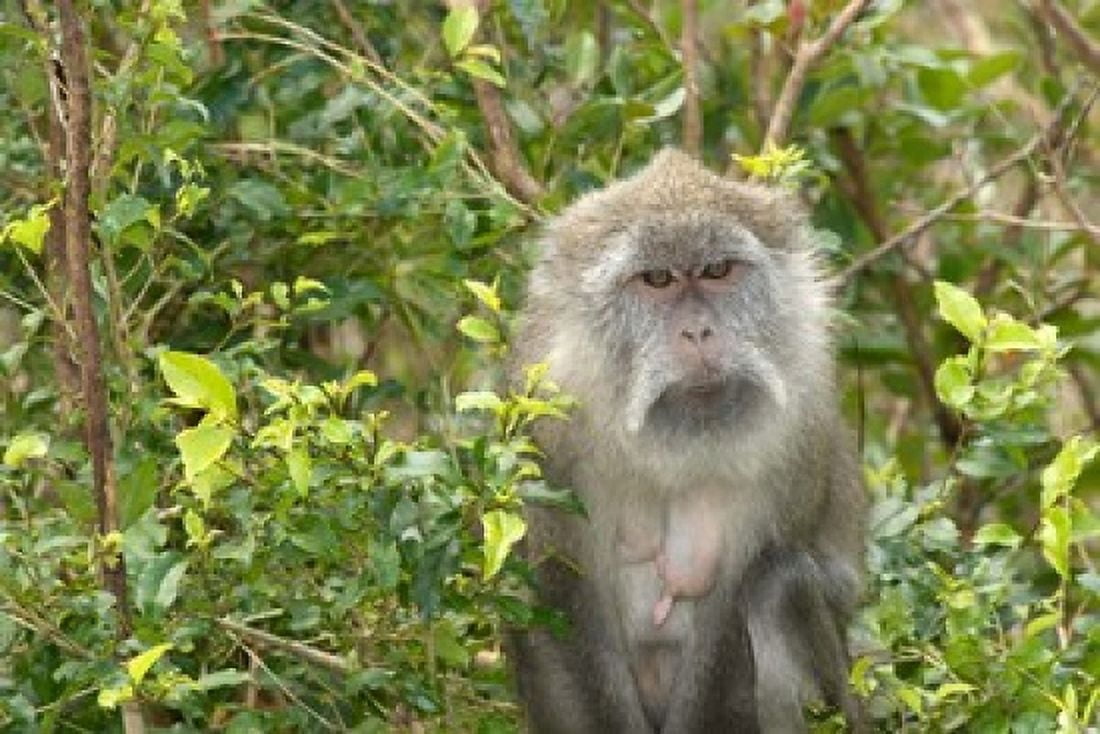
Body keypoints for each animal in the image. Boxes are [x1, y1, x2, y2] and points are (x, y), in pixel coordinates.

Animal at [507, 149, 867, 733]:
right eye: (656, 279)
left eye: (718, 271)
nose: (698, 333)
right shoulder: (548, 418)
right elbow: (557, 594)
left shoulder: (798, 424)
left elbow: (730, 618)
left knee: (778, 583)